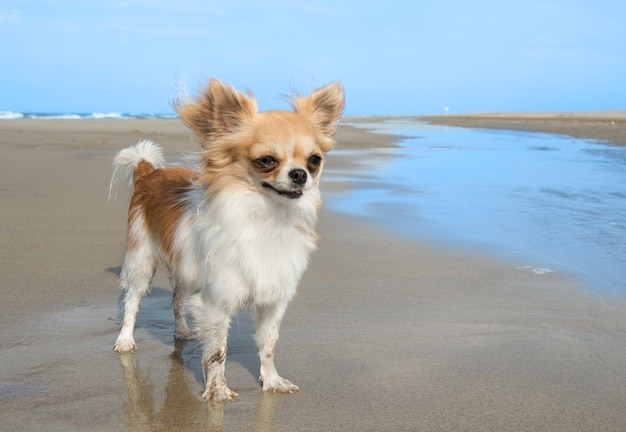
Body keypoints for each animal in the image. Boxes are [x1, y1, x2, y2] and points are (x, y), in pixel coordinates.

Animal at [110, 80, 344, 402]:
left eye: (314, 160)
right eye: (266, 160)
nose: (300, 174)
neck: (268, 218)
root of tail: (149, 172)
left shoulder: (273, 299)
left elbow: (269, 344)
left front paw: (271, 381)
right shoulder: (216, 303)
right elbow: (217, 352)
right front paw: (217, 391)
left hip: (184, 269)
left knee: (177, 300)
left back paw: (182, 331)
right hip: (142, 259)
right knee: (132, 301)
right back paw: (125, 340)